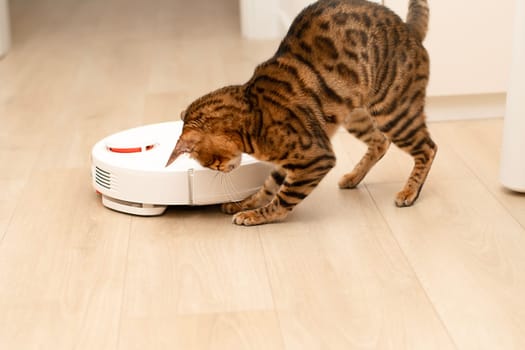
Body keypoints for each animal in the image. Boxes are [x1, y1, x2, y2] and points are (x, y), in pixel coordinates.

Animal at [166, 0, 436, 227]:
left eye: (209, 163)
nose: (220, 171)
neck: (252, 112)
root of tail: (409, 29)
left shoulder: (315, 156)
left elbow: (284, 197)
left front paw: (255, 215)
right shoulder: (290, 160)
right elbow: (269, 186)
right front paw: (244, 204)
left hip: (393, 111)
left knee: (428, 148)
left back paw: (409, 192)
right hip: (354, 116)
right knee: (381, 141)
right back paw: (353, 178)